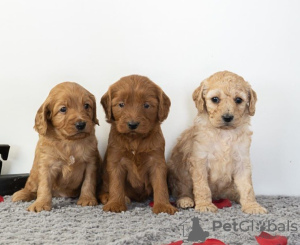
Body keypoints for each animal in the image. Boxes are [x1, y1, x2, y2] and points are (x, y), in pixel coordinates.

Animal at [12, 81, 101, 212]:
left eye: (86, 105)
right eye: (63, 109)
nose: (81, 124)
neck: (69, 141)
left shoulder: (91, 162)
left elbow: (88, 182)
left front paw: (87, 199)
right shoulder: (46, 165)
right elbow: (44, 186)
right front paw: (41, 204)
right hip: (34, 172)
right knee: (32, 187)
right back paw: (22, 194)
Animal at [98, 74, 178, 214]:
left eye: (146, 105)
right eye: (121, 104)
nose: (132, 124)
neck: (135, 139)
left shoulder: (157, 161)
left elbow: (161, 185)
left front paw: (163, 206)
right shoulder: (116, 161)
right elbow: (116, 185)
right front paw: (115, 204)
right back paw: (108, 197)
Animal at [168, 70, 268, 213]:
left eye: (238, 100)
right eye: (215, 99)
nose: (227, 117)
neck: (224, 133)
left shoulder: (242, 160)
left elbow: (247, 186)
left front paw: (252, 205)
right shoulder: (199, 160)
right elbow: (202, 186)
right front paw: (205, 205)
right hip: (178, 172)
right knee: (182, 189)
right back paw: (185, 200)